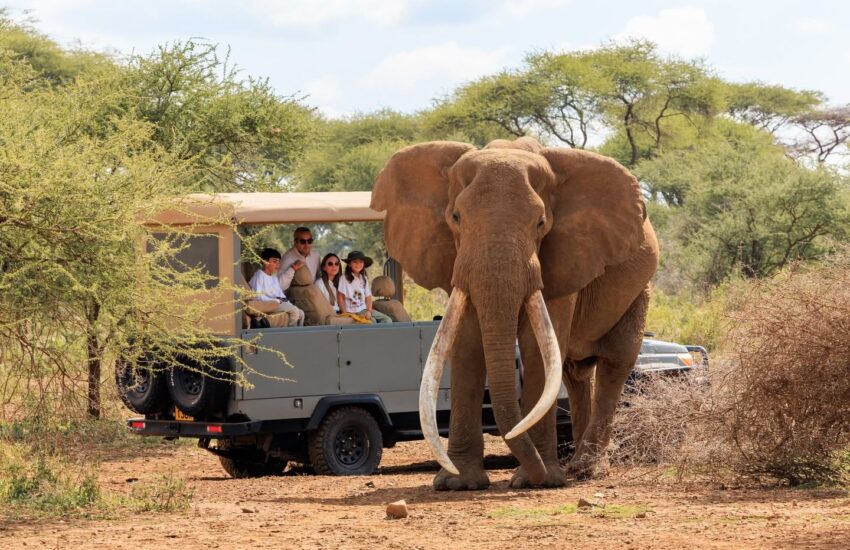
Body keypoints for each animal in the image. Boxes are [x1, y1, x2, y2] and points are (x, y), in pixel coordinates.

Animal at [370, 136, 658, 490]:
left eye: (541, 223)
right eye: (455, 217)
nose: (533, 475)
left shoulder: (565, 257)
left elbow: (536, 345)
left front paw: (541, 480)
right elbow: (466, 342)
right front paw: (458, 484)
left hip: (639, 288)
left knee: (615, 362)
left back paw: (586, 470)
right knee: (574, 373)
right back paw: (574, 468)